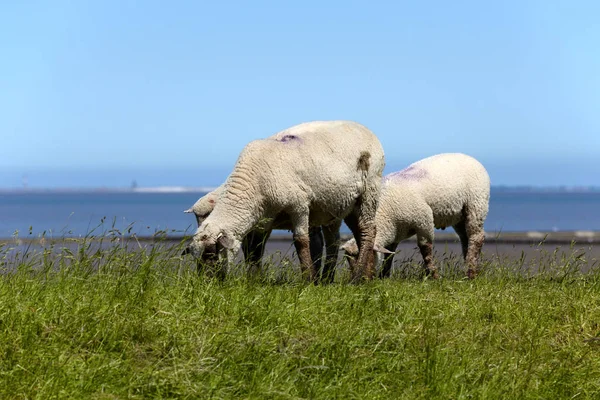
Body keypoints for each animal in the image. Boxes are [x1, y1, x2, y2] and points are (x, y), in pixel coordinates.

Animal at [340, 152, 490, 280]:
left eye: (366, 256)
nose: (360, 280)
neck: (385, 212)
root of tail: (472, 158)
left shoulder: (424, 219)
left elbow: (425, 249)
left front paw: (434, 276)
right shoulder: (395, 230)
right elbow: (389, 253)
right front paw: (384, 276)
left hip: (476, 204)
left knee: (476, 237)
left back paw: (471, 273)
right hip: (460, 216)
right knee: (466, 238)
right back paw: (469, 266)